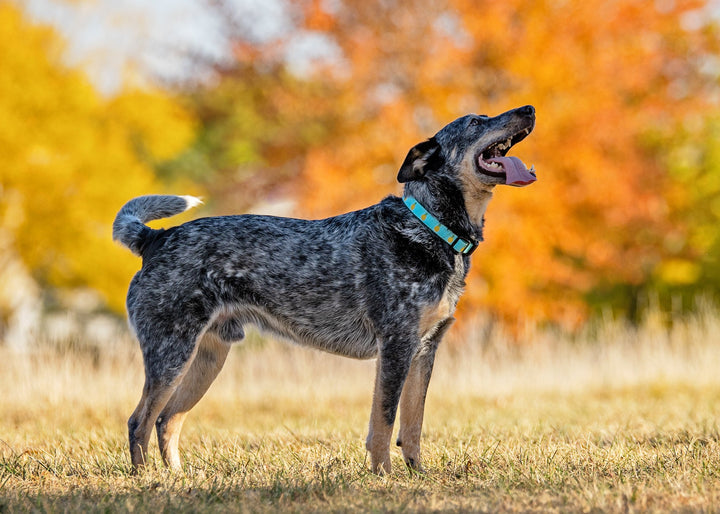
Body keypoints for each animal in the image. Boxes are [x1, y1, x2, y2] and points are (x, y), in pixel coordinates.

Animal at [114, 104, 536, 472]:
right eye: (476, 121)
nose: (529, 109)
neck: (430, 227)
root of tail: (155, 238)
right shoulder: (396, 346)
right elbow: (383, 425)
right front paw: (383, 477)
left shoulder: (424, 349)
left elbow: (413, 425)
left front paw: (418, 475)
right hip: (171, 353)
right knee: (139, 420)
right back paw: (147, 479)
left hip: (207, 357)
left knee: (167, 419)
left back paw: (177, 478)